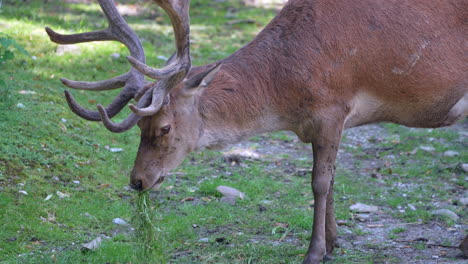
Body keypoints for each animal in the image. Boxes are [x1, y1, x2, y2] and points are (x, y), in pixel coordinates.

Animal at [44, 0, 468, 262]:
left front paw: (313, 253)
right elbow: (333, 180)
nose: (137, 181)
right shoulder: (330, 123)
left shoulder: (332, 108)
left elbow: (319, 183)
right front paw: (334, 243)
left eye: (163, 127)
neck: (286, 94)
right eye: (140, 126)